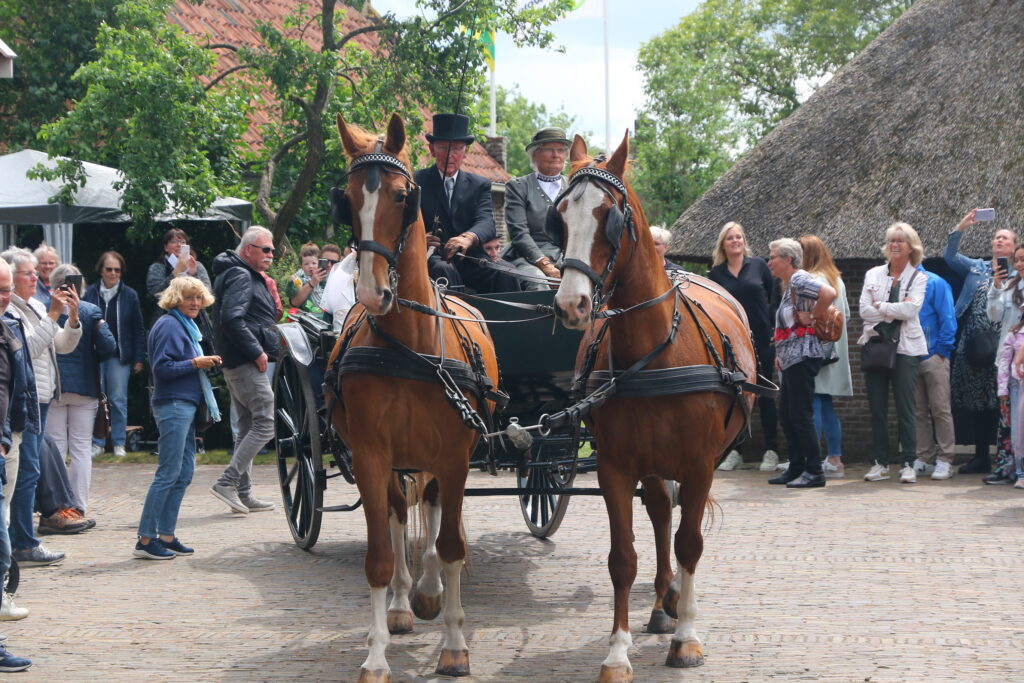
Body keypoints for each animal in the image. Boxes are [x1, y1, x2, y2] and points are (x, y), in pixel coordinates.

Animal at [327, 114, 499, 679]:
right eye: (347, 198)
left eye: (403, 196)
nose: (370, 292)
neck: (409, 344)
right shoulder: (371, 454)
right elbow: (381, 553)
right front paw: (376, 654)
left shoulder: (455, 455)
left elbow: (451, 546)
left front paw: (454, 644)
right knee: (402, 512)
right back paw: (406, 603)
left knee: (434, 512)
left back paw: (427, 592)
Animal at [552, 133, 761, 683]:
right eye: (560, 216)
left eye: (610, 216)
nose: (572, 305)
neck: (653, 351)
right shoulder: (615, 466)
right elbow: (623, 557)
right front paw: (617, 653)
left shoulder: (699, 463)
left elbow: (691, 542)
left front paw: (688, 639)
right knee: (662, 511)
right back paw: (663, 601)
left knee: (681, 521)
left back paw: (677, 604)